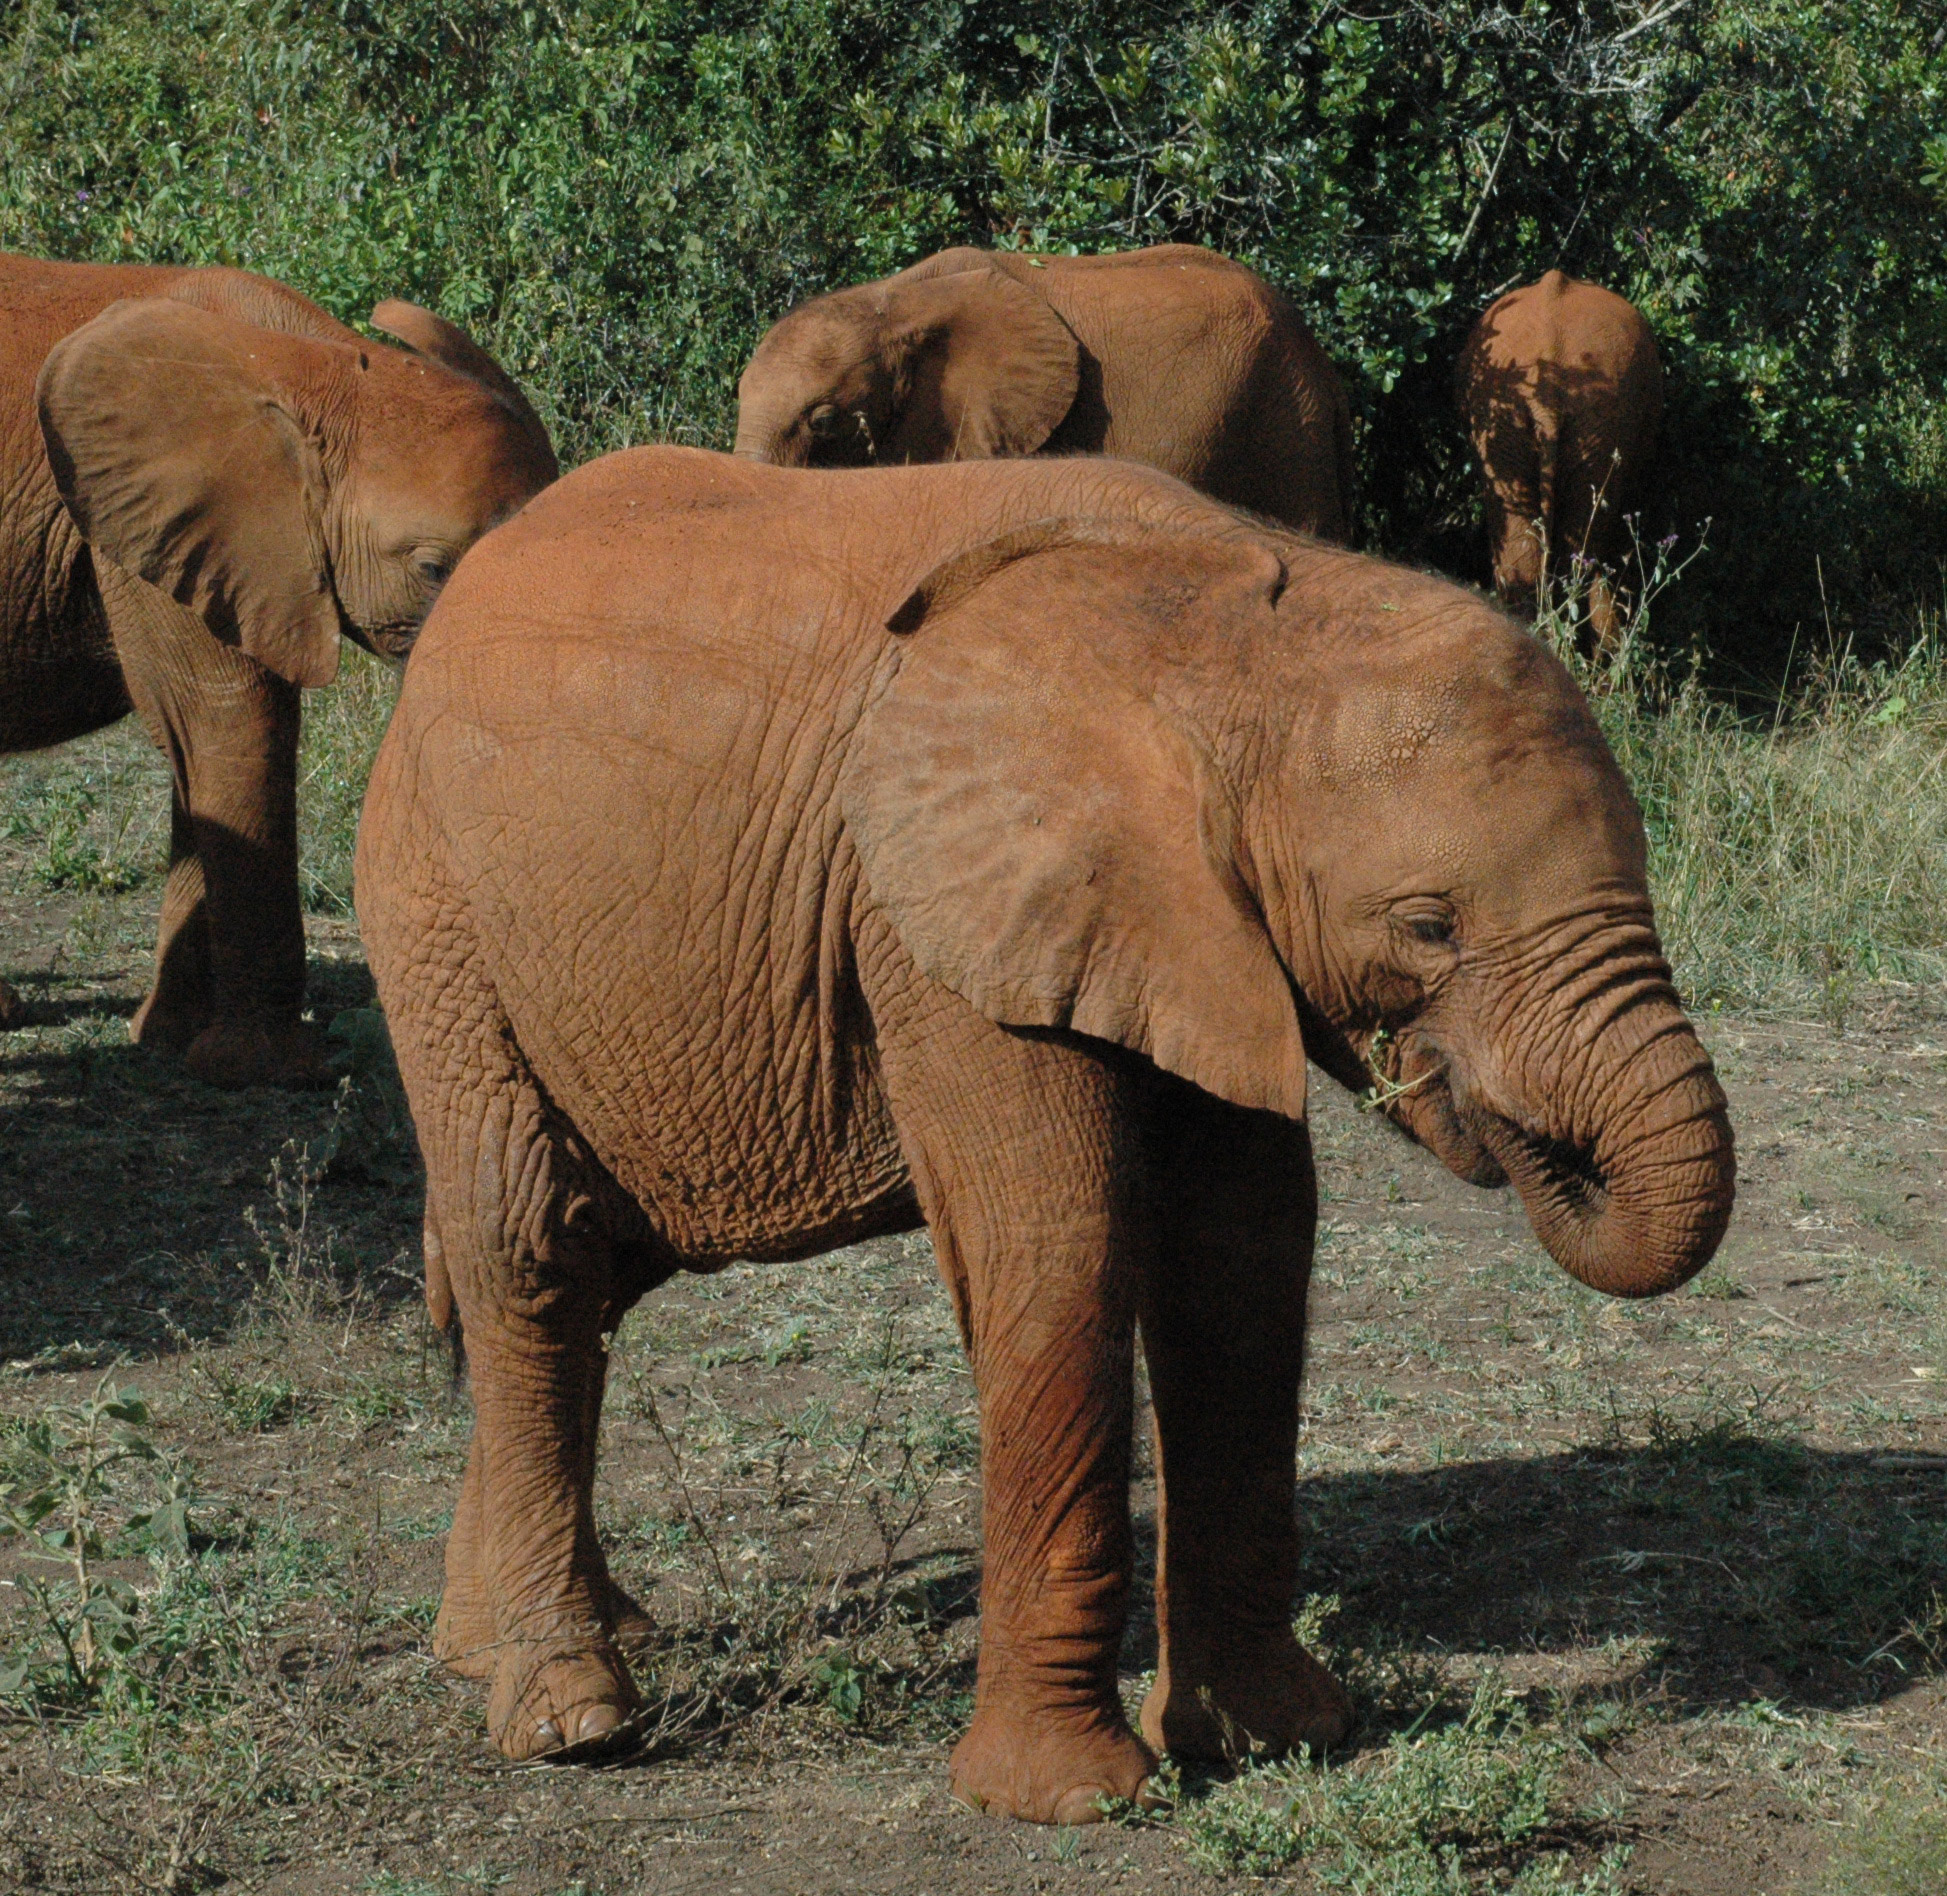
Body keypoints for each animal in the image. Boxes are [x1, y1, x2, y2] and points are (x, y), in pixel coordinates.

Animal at [0, 253, 556, 1082]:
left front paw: (167, 1040)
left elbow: (201, 749)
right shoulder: (155, 518)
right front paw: (265, 1069)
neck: (310, 362)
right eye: (431, 569)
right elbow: (231, 724)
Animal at [354, 445, 1736, 1822]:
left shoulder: (1188, 920)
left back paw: (507, 1647)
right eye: (1428, 926)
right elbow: (1062, 1244)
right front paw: (1070, 1802)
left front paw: (1277, 1736)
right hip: (430, 902)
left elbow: (1242, 1255)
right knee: (530, 1242)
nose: (1521, 1133)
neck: (1231, 628)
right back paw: (571, 1717)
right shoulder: (934, 914)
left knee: (598, 1263)